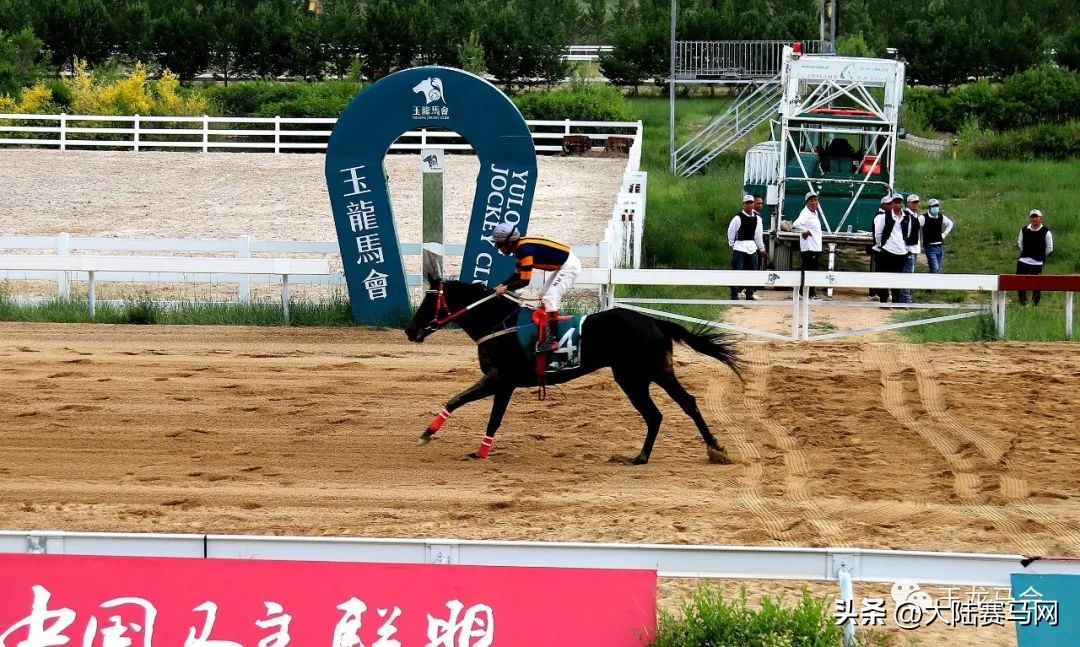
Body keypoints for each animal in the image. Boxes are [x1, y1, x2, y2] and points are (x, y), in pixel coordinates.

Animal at [404, 276, 741, 465]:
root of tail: (654, 321)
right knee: (664, 412)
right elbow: (462, 402)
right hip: (641, 376)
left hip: (642, 374)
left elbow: (481, 411)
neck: (499, 324)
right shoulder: (500, 381)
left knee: (677, 406)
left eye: (429, 303)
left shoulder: (502, 379)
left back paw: (705, 450)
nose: (410, 330)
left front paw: (468, 448)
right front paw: (432, 435)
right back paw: (655, 454)